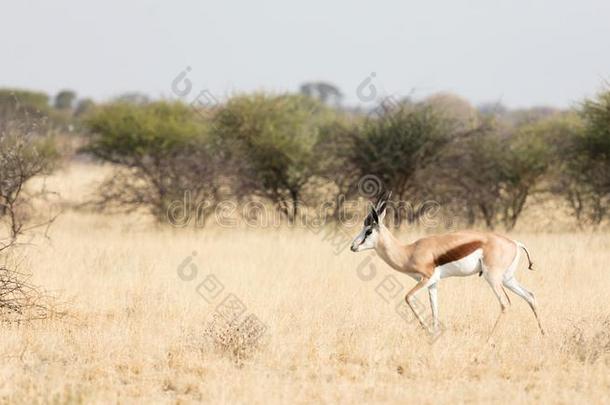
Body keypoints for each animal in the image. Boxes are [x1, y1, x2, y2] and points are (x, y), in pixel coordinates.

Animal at [350, 193, 544, 334]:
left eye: (368, 231)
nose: (353, 246)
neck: (409, 252)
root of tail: (515, 243)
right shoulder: (433, 284)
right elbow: (435, 310)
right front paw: (435, 333)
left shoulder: (425, 278)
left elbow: (407, 297)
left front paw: (426, 330)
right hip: (507, 279)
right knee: (530, 296)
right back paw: (543, 334)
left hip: (493, 278)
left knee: (505, 303)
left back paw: (490, 338)